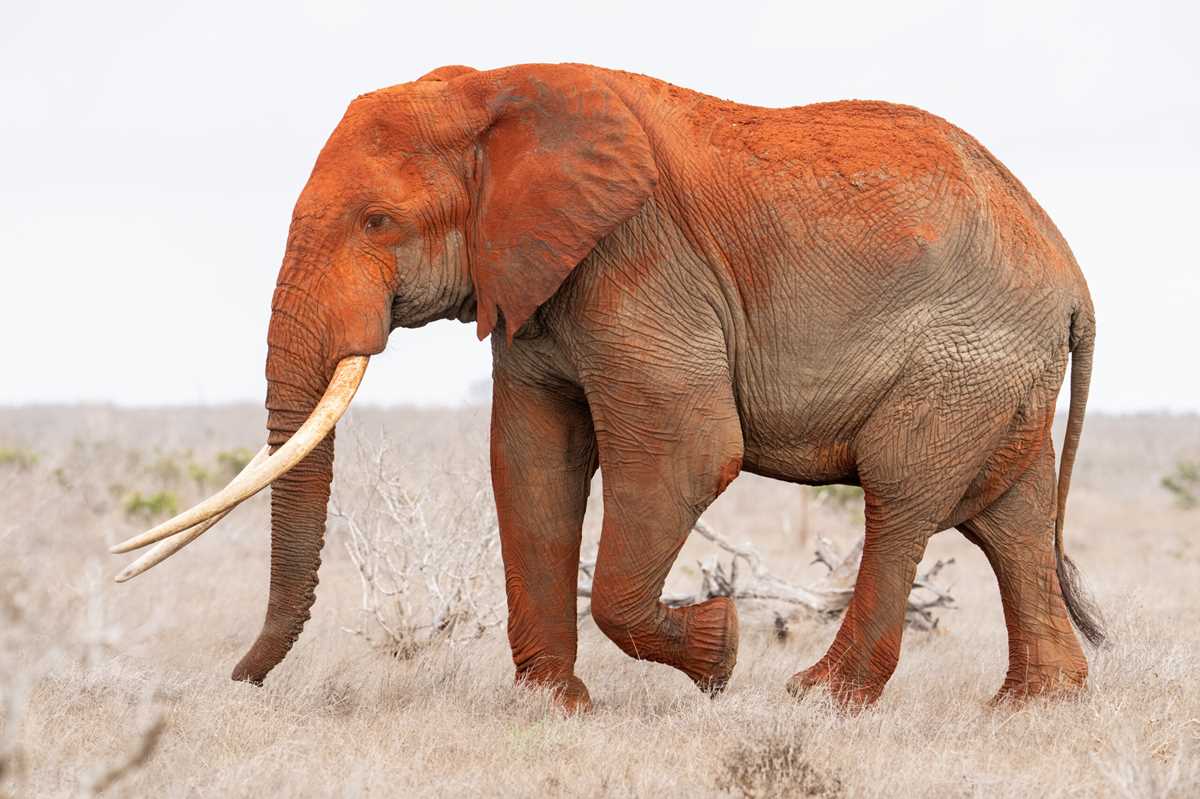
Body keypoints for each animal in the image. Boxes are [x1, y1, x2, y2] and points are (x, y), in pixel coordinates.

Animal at [113, 62, 1103, 712]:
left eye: (378, 220)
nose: (238, 682)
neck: (493, 91)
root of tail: (1072, 274)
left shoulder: (642, 263)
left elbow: (689, 452)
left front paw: (720, 651)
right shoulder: (535, 281)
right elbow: (530, 459)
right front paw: (555, 706)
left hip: (963, 353)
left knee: (902, 496)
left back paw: (816, 698)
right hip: (998, 369)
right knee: (1008, 516)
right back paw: (1035, 706)